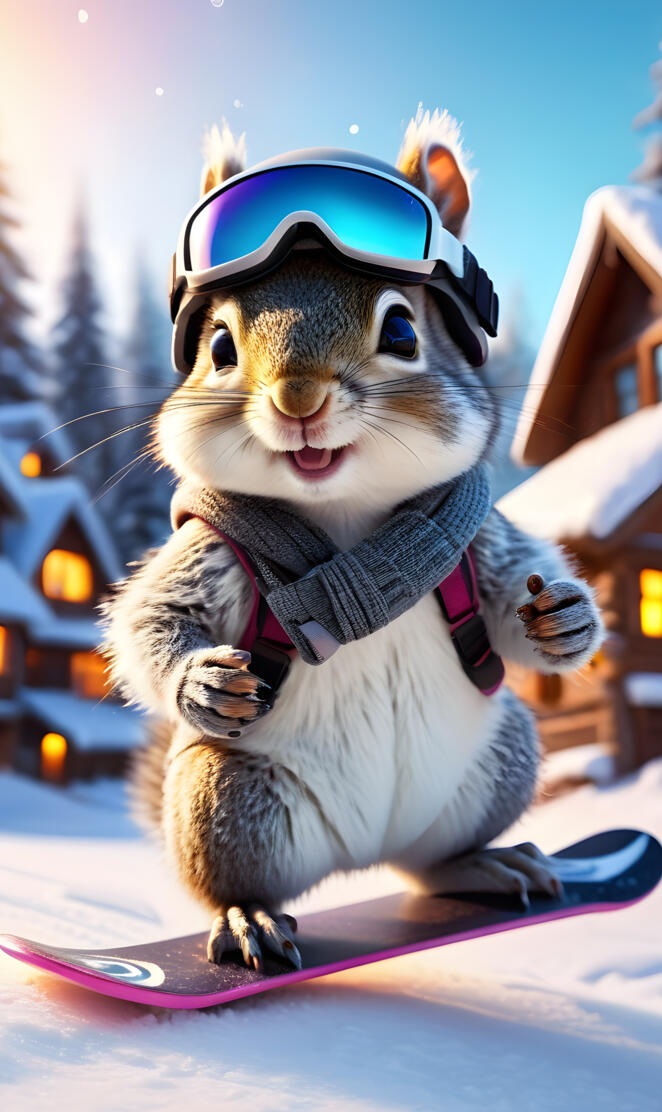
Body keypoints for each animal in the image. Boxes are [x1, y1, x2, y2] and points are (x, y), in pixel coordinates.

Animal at [103, 109, 604, 973]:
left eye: (403, 328)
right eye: (219, 348)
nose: (298, 399)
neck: (344, 516)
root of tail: (362, 855)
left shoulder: (476, 535)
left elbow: (515, 597)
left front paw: (563, 620)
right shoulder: (209, 546)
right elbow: (153, 619)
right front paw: (201, 680)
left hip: (501, 761)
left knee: (430, 864)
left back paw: (487, 865)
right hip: (226, 797)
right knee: (240, 878)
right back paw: (248, 919)